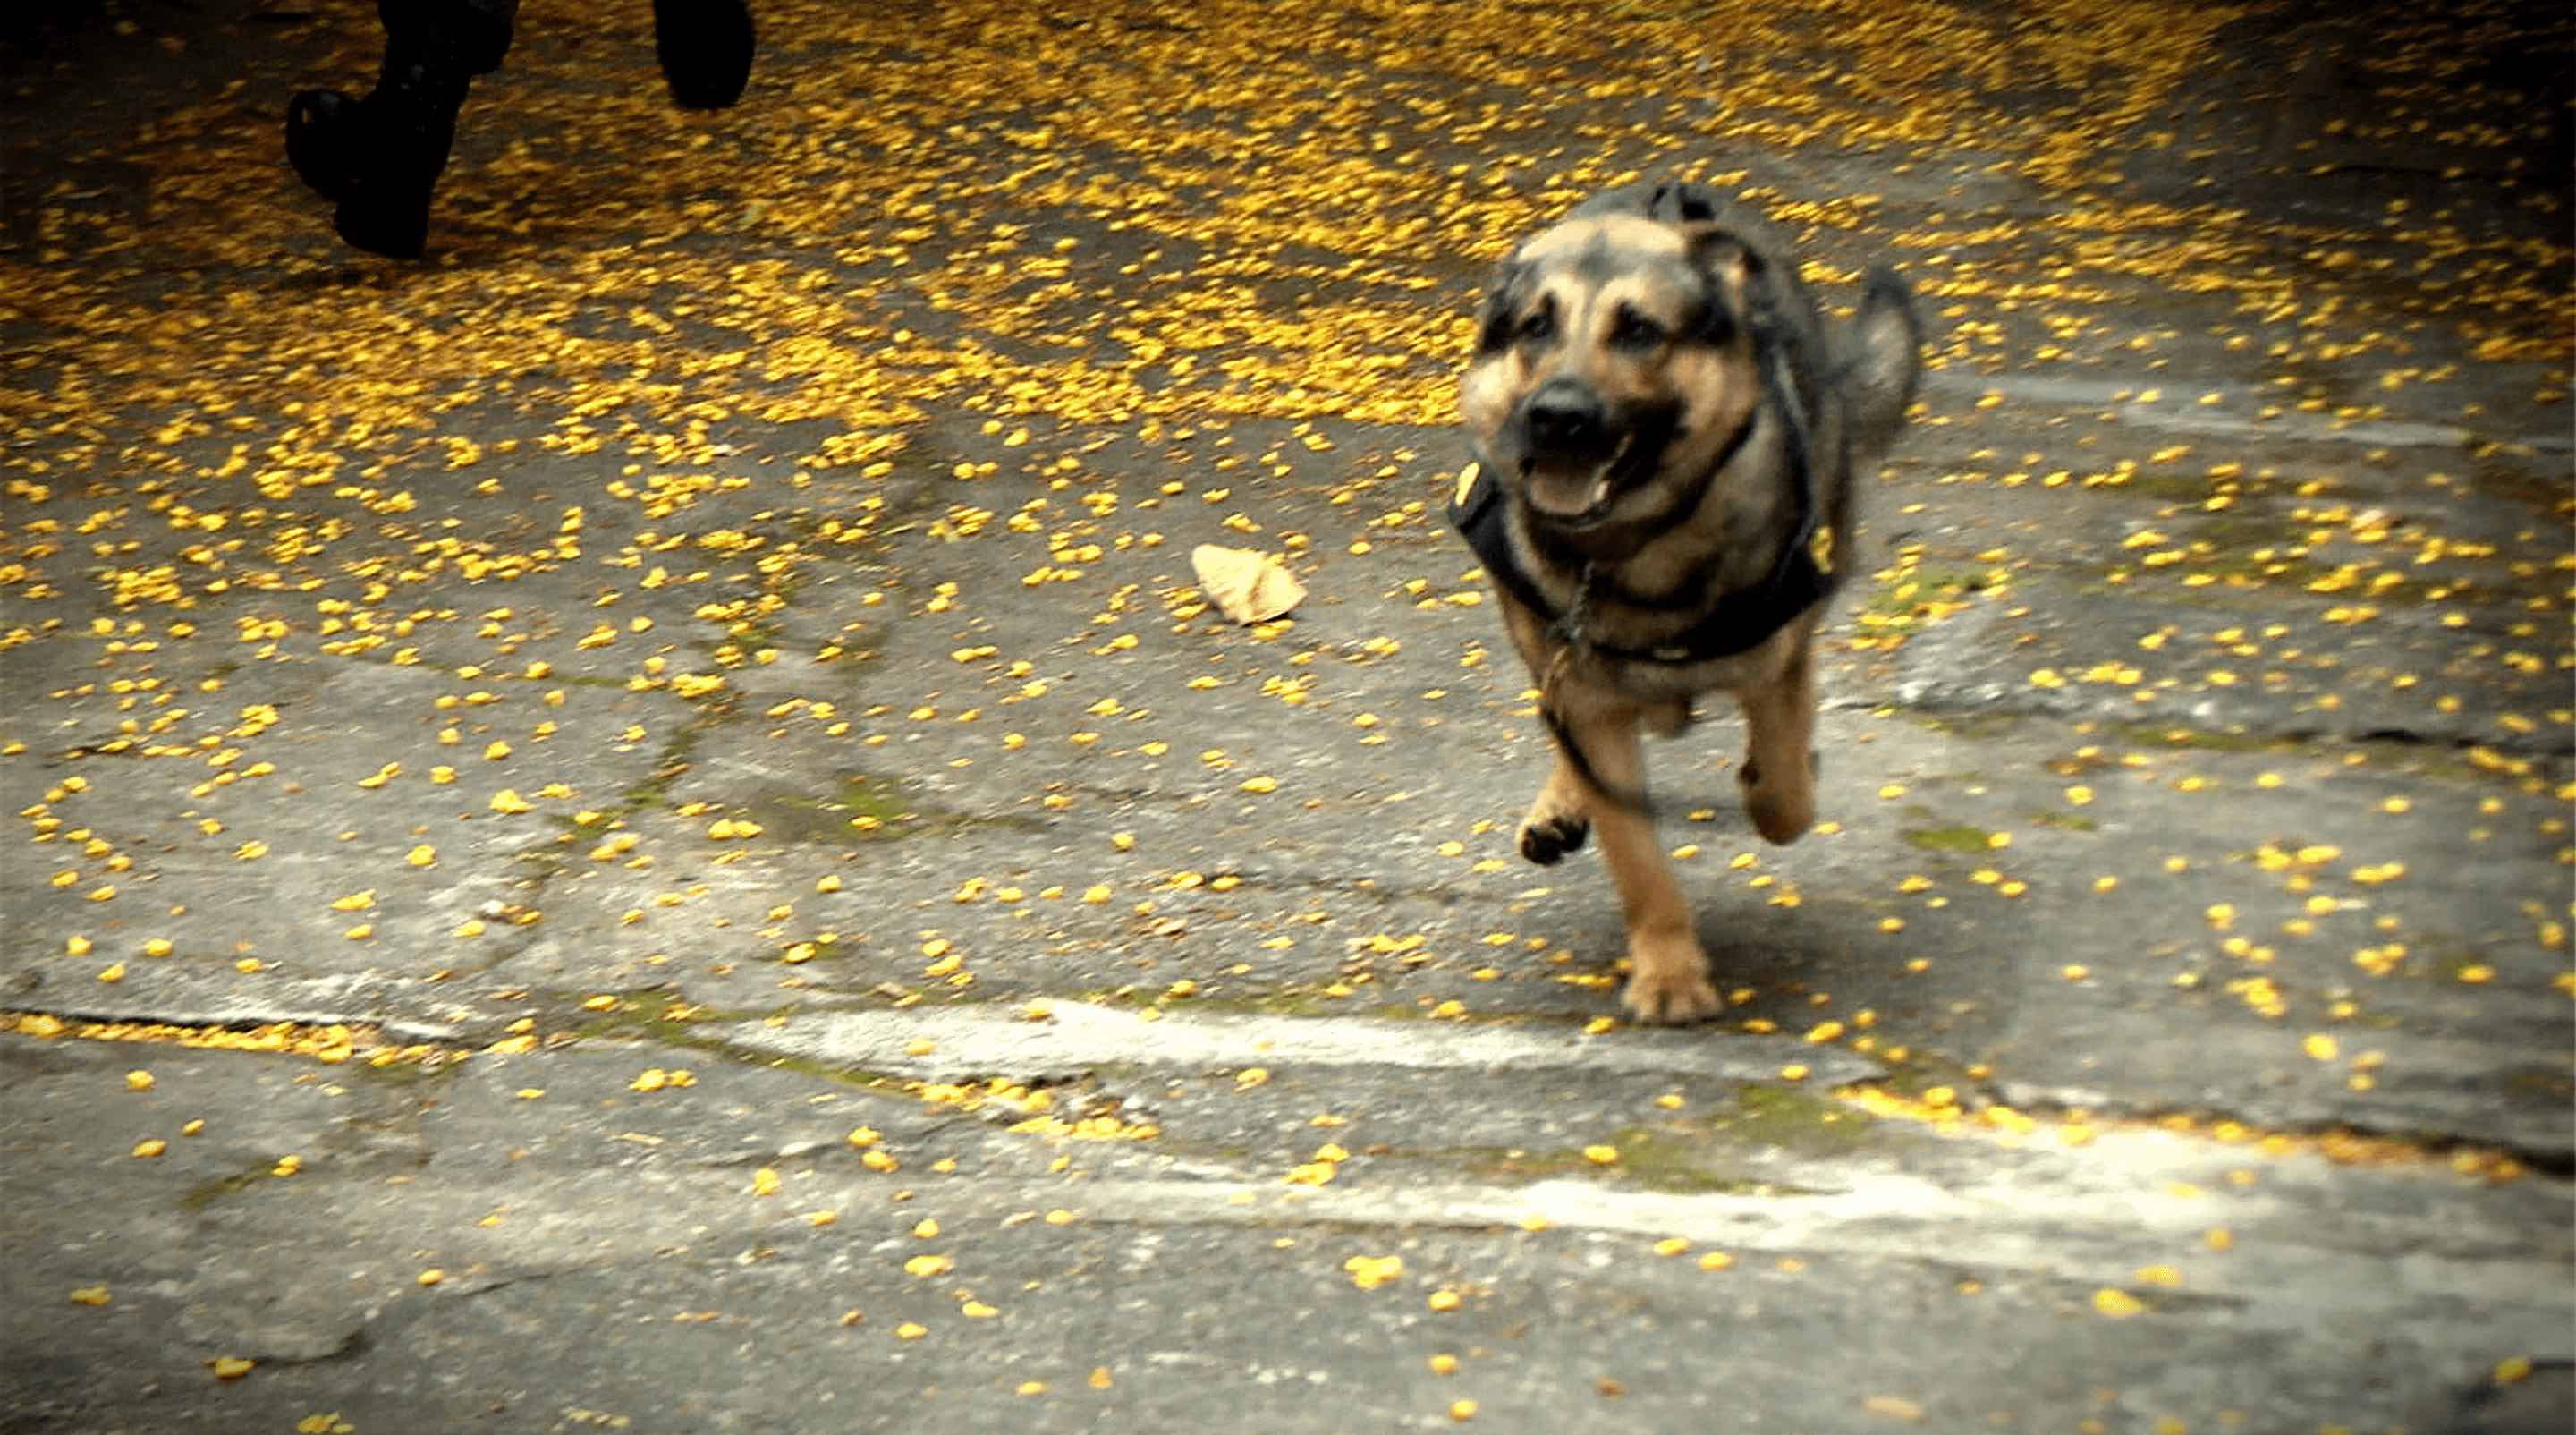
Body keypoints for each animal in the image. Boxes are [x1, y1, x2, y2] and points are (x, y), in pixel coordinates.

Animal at [1453, 182, 1916, 1020]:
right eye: (1536, 327)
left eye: (1639, 331)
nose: (1556, 415)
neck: (1636, 548)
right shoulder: (1590, 706)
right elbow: (1637, 860)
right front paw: (1669, 974)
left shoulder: (1782, 664)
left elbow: (1785, 788)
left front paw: (1769, 784)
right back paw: (1562, 804)